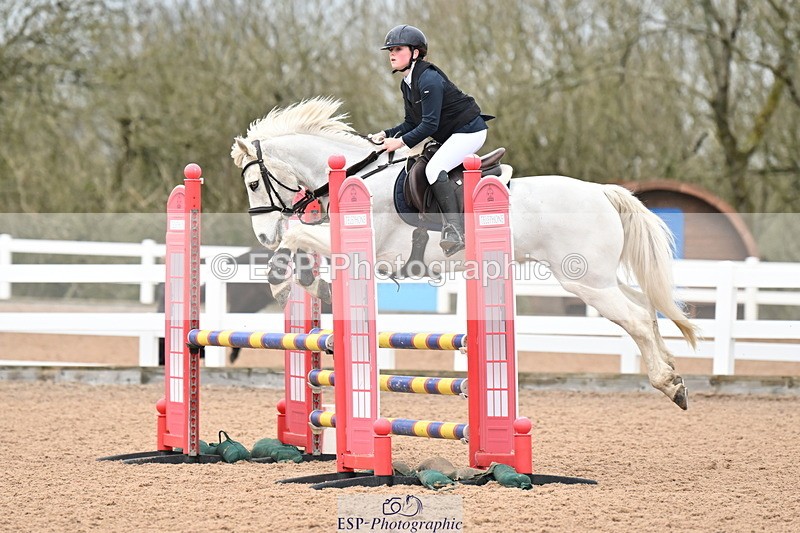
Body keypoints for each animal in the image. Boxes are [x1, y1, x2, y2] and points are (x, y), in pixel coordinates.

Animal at [230, 97, 698, 410]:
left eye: (253, 183)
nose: (263, 235)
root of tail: (601, 192)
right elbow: (303, 242)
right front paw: (308, 283)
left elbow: (298, 235)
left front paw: (284, 283)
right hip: (600, 276)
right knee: (646, 311)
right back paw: (674, 376)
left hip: (585, 280)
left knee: (635, 317)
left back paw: (668, 384)